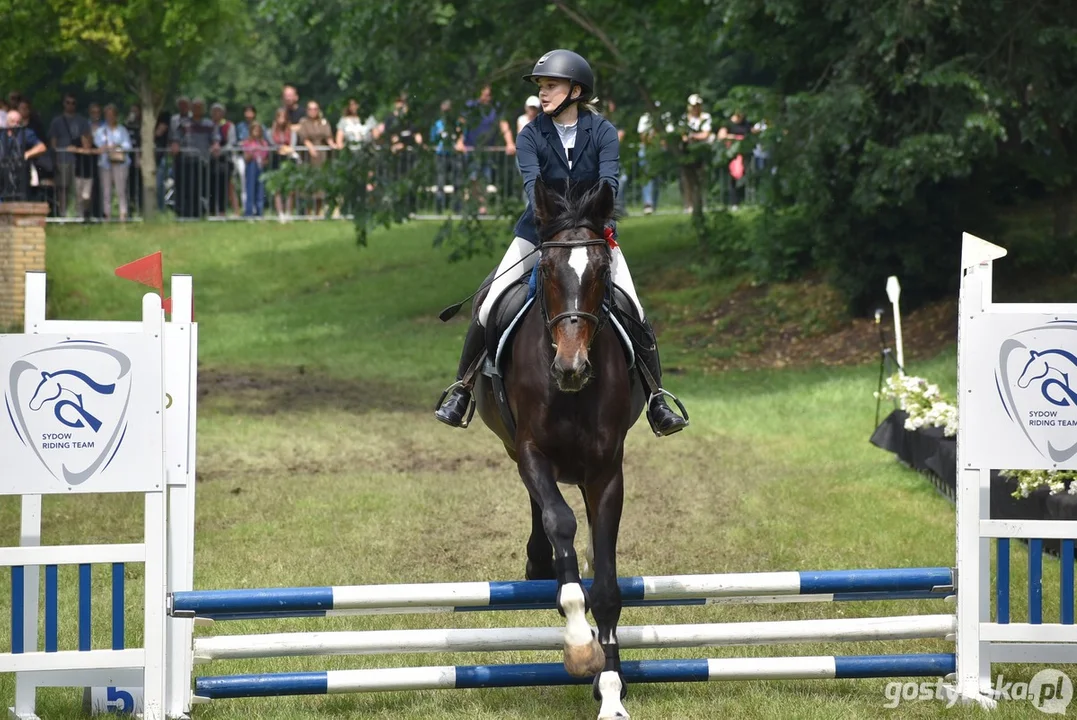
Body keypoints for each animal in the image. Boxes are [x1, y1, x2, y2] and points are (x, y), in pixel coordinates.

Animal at [469, 179, 637, 718]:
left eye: (601, 271)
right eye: (545, 271)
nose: (571, 366)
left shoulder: (606, 471)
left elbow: (606, 587)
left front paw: (611, 690)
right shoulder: (531, 451)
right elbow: (559, 521)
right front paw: (580, 641)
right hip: (514, 449)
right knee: (541, 507)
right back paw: (540, 563)